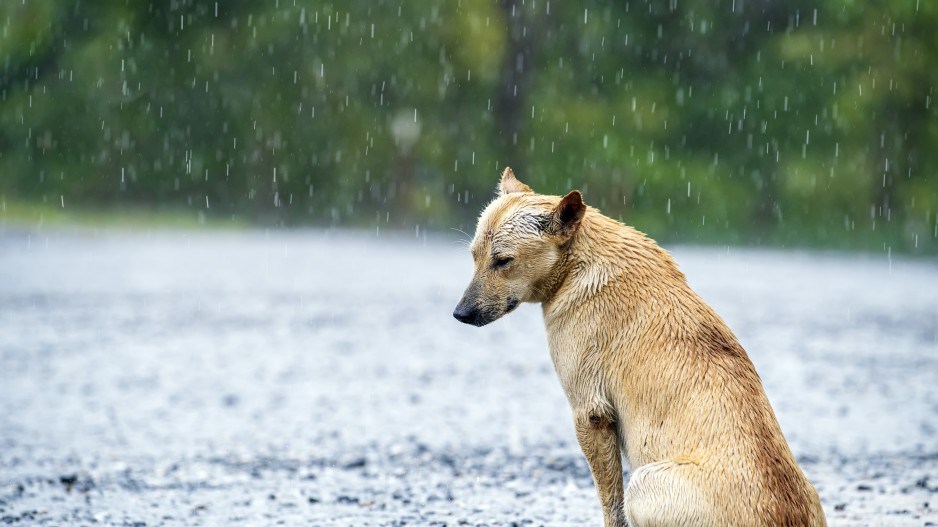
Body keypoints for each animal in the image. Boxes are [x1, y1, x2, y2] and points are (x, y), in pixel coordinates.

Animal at [454, 169, 828, 527]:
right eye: (473, 256)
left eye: (503, 261)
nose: (460, 314)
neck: (578, 264)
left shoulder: (591, 412)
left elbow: (611, 502)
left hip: (644, 482)